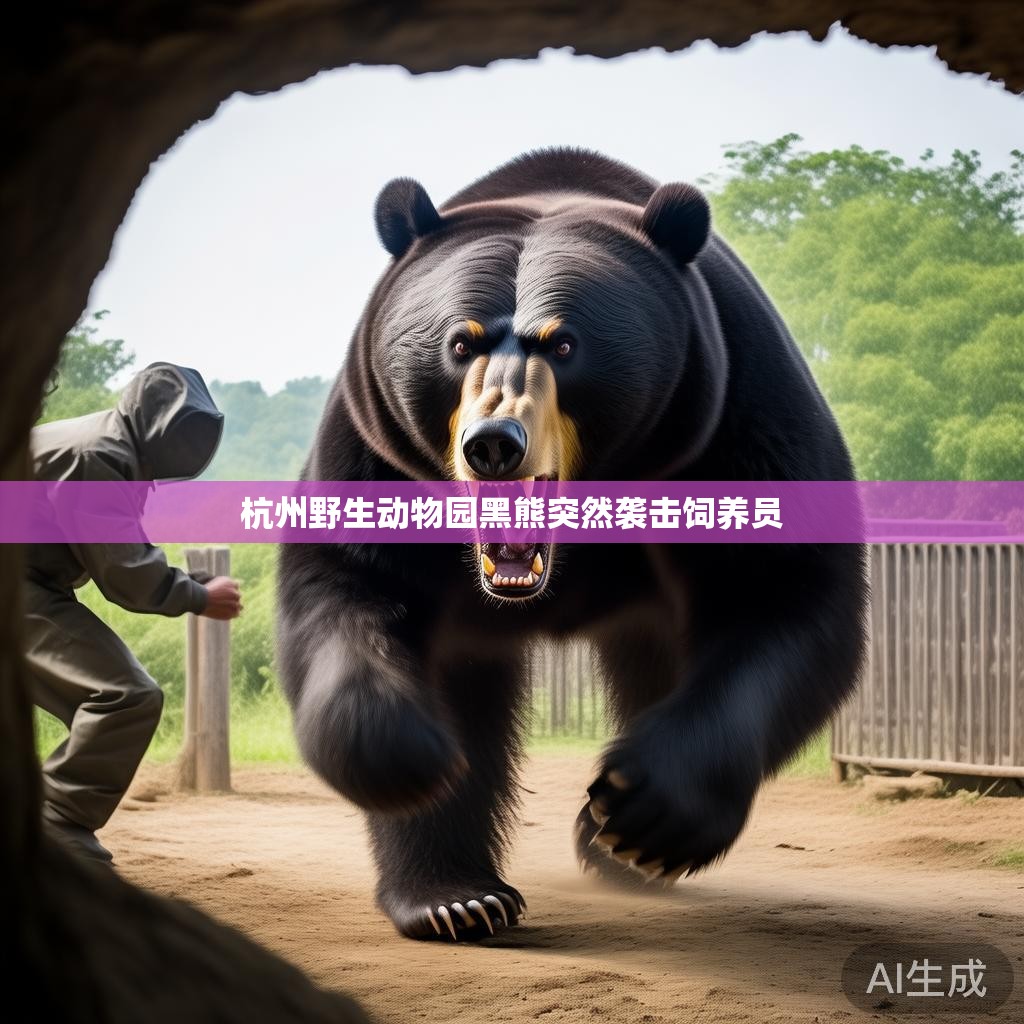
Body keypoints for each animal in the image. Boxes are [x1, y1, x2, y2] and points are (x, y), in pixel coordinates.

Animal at [277, 148, 867, 942]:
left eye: (563, 342)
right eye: (458, 342)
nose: (494, 443)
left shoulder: (734, 422)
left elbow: (784, 590)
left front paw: (642, 814)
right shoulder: (379, 452)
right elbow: (352, 586)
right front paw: (411, 765)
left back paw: (613, 852)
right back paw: (461, 898)